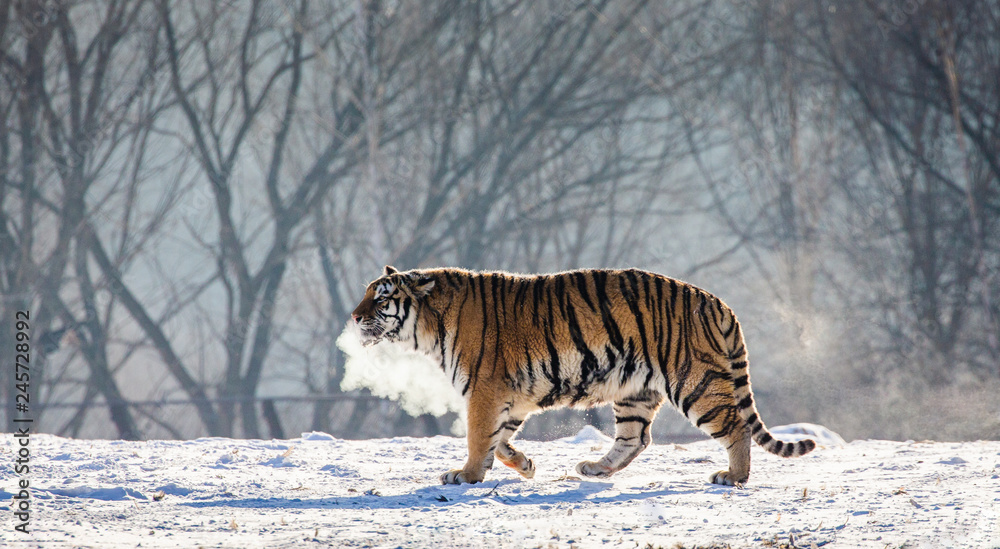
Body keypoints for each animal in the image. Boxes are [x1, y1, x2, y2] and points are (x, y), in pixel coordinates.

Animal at [350, 265, 815, 486]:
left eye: (381, 298)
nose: (354, 316)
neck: (429, 326)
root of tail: (719, 303)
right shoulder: (511, 395)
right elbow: (500, 440)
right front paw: (525, 465)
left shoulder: (484, 390)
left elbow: (479, 436)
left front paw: (465, 476)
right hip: (635, 390)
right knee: (635, 438)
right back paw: (595, 468)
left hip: (694, 382)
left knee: (736, 426)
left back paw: (733, 477)